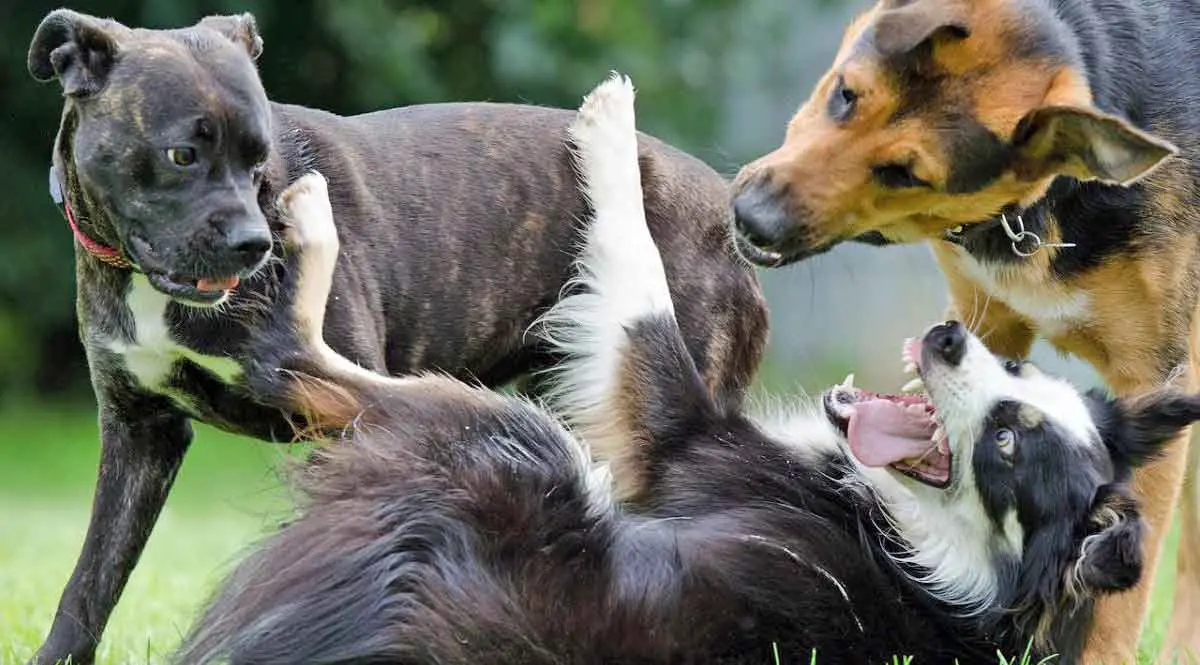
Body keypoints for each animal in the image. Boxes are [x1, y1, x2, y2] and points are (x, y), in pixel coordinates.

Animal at [23, 9, 768, 662]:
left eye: (260, 161)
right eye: (182, 154)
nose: (254, 244)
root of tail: (725, 212)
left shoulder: (340, 427)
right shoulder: (138, 431)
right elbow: (93, 575)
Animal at [169, 76, 1200, 662]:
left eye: (1006, 444)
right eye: (1016, 378)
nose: (949, 338)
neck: (932, 554)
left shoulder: (676, 436)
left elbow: (639, 290)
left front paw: (611, 126)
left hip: (517, 440)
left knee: (305, 364)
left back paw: (307, 225)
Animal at [724, 0, 1200, 657]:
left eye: (904, 173)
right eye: (845, 95)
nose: (750, 220)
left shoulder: (1154, 372)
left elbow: (1122, 591)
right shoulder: (987, 322)